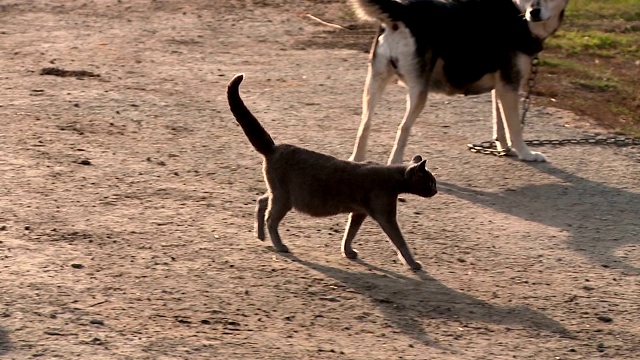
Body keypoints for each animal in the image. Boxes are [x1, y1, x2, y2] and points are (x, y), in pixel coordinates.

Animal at [228, 74, 438, 270]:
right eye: (431, 182)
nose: (436, 191)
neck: (393, 178)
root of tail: (273, 148)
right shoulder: (385, 215)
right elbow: (400, 241)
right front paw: (413, 263)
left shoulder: (358, 212)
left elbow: (350, 233)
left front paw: (348, 251)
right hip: (284, 197)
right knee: (271, 218)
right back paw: (279, 245)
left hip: (278, 192)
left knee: (261, 201)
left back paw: (260, 235)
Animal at [348, 0, 568, 163]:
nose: (534, 12)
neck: (517, 13)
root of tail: (404, 8)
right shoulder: (509, 85)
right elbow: (514, 126)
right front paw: (526, 153)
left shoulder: (501, 87)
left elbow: (500, 123)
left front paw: (504, 148)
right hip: (419, 90)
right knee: (403, 128)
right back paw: (396, 164)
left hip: (375, 82)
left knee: (365, 123)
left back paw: (356, 160)